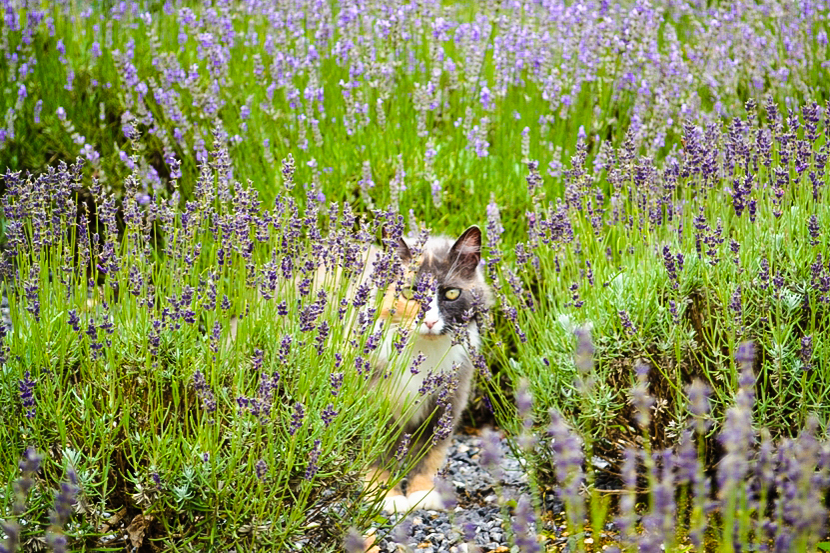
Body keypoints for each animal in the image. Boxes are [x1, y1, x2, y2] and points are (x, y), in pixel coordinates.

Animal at [366, 225, 494, 512]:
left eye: (451, 293)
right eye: (410, 292)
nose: (430, 321)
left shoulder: (445, 403)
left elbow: (430, 454)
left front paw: (423, 493)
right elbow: (376, 453)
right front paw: (385, 495)